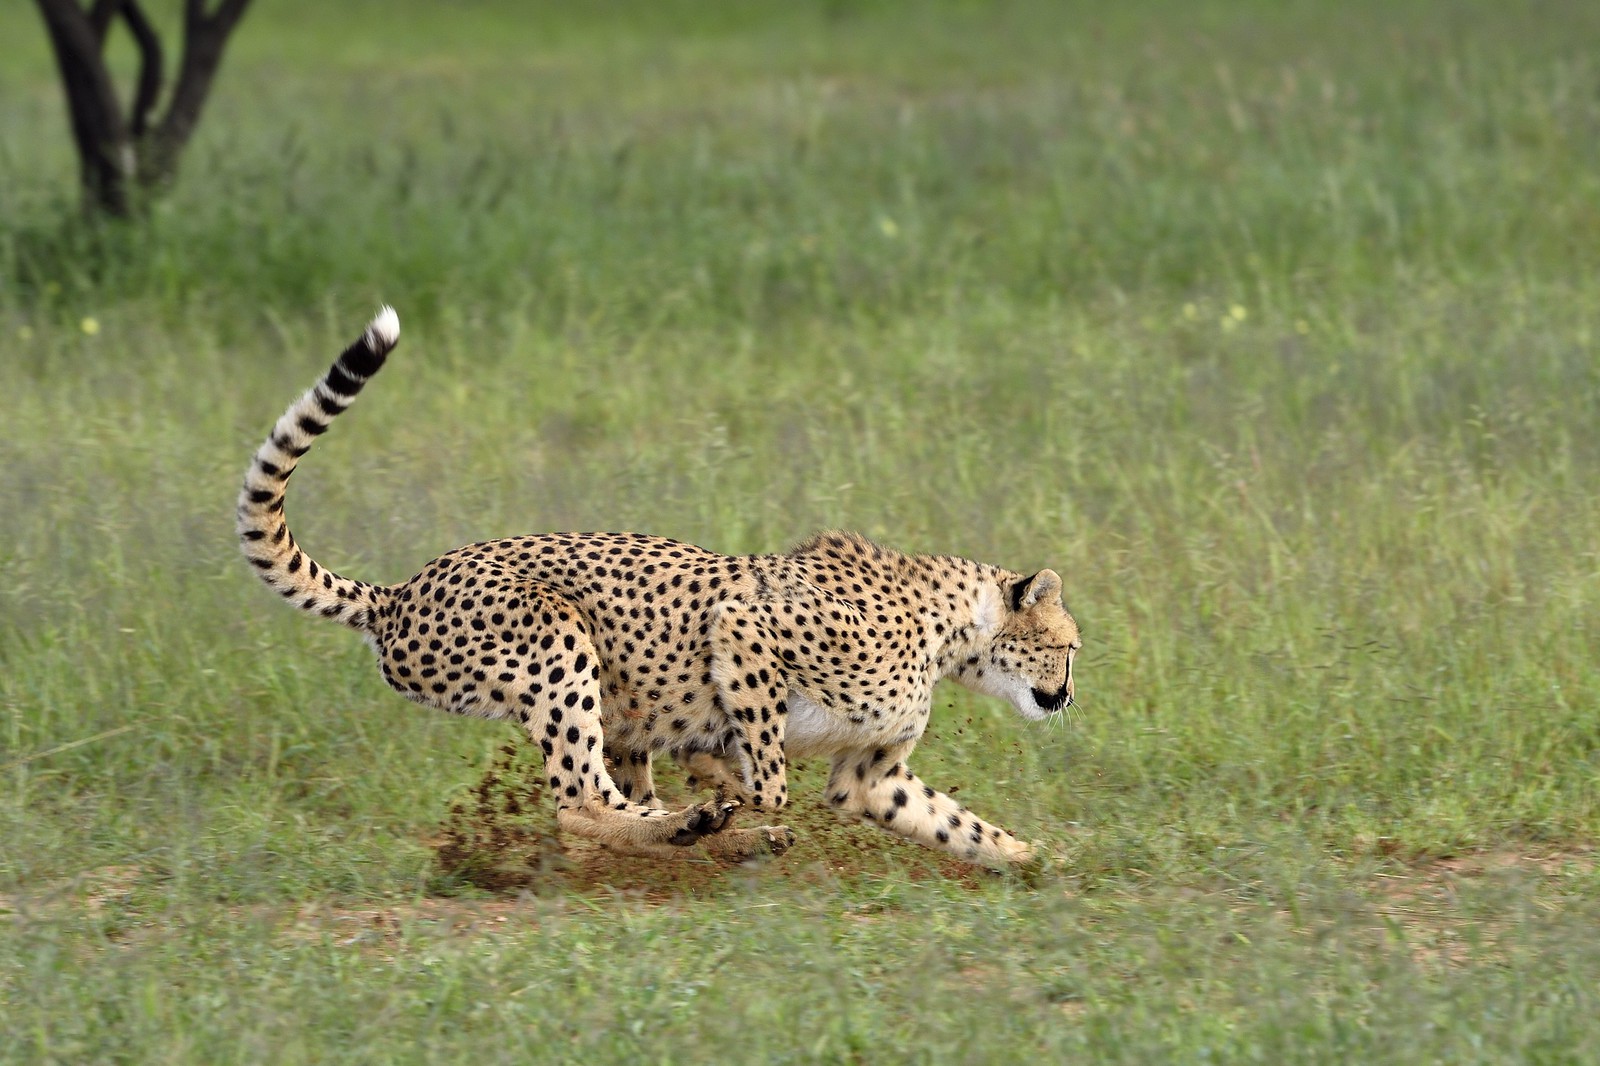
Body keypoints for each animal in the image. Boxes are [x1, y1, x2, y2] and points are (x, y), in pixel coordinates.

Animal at [237, 307, 1081, 870]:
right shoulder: (745, 630)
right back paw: (696, 827)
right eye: (1067, 647)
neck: (952, 632)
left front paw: (1039, 861)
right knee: (580, 805)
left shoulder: (869, 775)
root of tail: (400, 591)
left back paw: (695, 829)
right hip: (557, 642)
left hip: (606, 706)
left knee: (609, 797)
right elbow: (768, 772)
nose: (1068, 694)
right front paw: (732, 793)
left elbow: (954, 822)